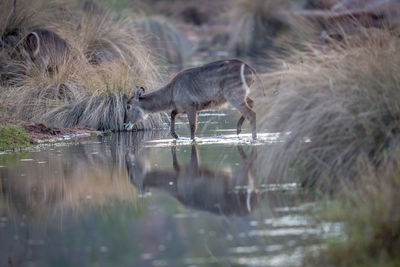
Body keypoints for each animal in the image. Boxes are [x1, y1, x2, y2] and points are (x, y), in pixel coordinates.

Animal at [123, 59, 258, 140]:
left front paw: (190, 140)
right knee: (252, 102)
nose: (124, 124)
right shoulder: (183, 108)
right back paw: (238, 130)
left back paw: (252, 137)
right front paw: (175, 135)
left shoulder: (190, 107)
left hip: (234, 96)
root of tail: (250, 69)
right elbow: (173, 113)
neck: (171, 91)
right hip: (241, 95)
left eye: (128, 106)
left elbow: (193, 128)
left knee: (252, 114)